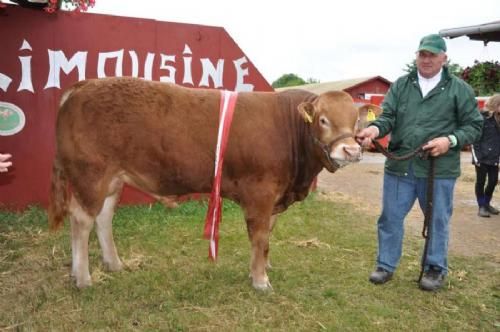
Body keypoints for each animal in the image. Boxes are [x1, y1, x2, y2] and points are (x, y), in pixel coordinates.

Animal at [48, 76, 362, 290]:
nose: (352, 150)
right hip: (91, 175)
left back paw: (114, 264)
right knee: (82, 219)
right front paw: (260, 279)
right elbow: (259, 236)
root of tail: (82, 86)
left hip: (113, 179)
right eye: (323, 120)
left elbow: (267, 237)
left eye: (356, 122)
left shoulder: (274, 198)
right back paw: (83, 277)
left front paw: (263, 266)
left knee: (103, 218)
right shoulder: (260, 192)